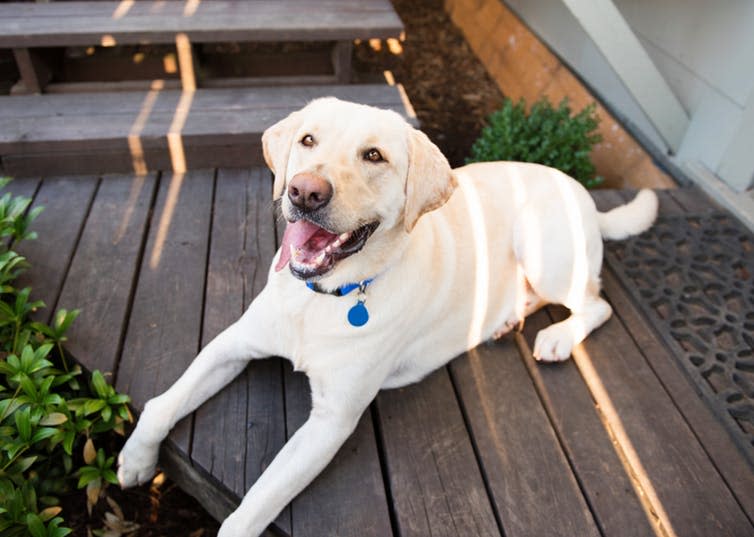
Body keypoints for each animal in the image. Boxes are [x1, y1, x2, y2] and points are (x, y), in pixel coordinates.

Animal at [116, 97, 652, 536]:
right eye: (308, 140)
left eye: (374, 156)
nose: (304, 191)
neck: (325, 297)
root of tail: (584, 195)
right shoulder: (233, 344)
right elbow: (163, 404)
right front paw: (137, 458)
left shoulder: (331, 422)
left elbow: (254, 506)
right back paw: (505, 320)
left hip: (540, 245)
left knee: (597, 302)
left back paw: (558, 337)